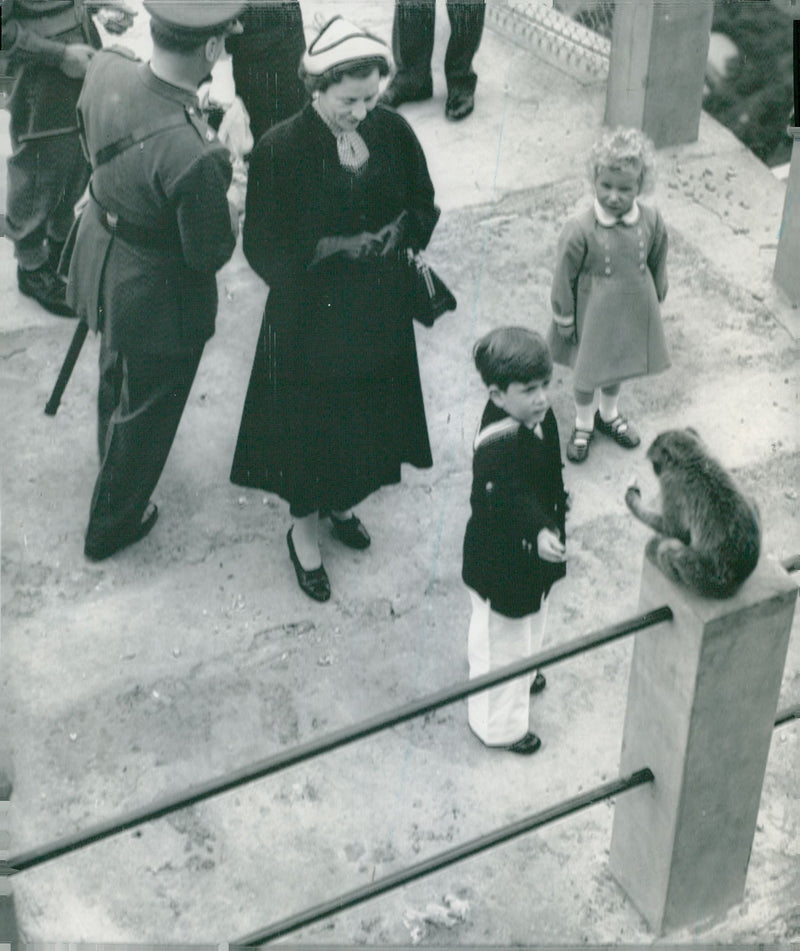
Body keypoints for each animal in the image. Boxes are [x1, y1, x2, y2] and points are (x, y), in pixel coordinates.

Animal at [624, 430, 764, 600]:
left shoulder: (670, 482)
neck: (694, 459)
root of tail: (736, 583)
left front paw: (632, 500)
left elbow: (675, 530)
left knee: (668, 550)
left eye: (655, 464)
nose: (655, 470)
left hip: (704, 577)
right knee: (752, 500)